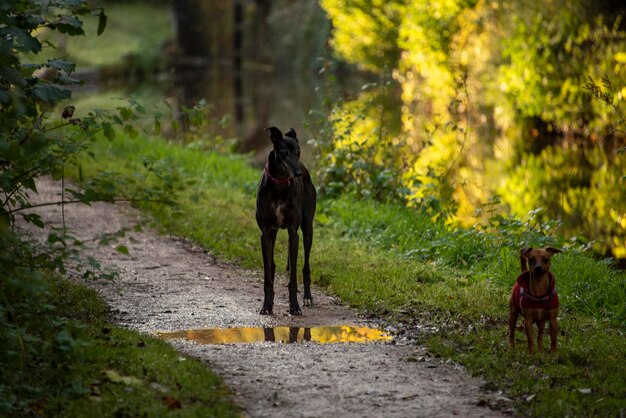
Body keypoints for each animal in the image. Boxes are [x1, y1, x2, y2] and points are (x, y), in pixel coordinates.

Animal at [254, 125, 314, 316]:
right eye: (284, 152)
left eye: (298, 152)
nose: (298, 174)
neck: (279, 184)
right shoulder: (265, 232)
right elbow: (267, 274)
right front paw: (267, 305)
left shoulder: (293, 232)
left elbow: (293, 277)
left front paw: (294, 306)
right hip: (273, 233)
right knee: (271, 267)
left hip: (308, 228)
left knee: (306, 266)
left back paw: (307, 297)